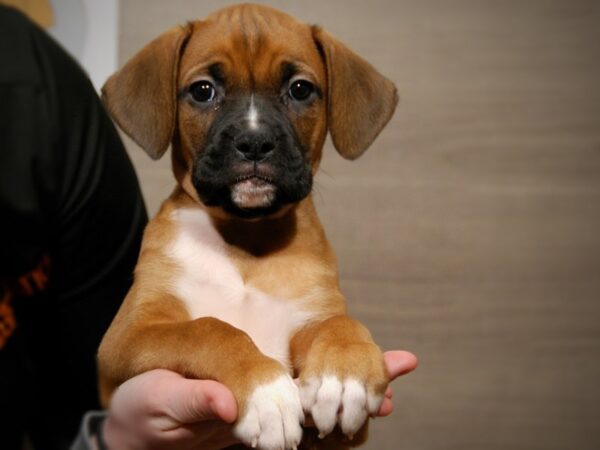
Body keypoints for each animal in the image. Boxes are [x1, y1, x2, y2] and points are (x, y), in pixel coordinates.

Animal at [98, 3, 398, 450]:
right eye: (203, 90)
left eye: (300, 89)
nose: (255, 142)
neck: (245, 238)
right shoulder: (129, 334)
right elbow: (208, 329)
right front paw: (265, 392)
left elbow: (341, 323)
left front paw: (344, 375)